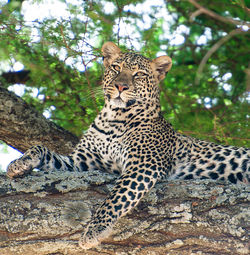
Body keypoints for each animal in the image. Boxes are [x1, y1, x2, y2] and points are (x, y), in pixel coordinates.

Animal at [6, 41, 249, 249]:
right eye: (116, 67)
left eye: (139, 74)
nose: (120, 86)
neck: (113, 118)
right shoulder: (83, 161)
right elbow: (42, 149)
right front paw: (19, 163)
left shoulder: (144, 165)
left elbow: (116, 197)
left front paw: (93, 231)